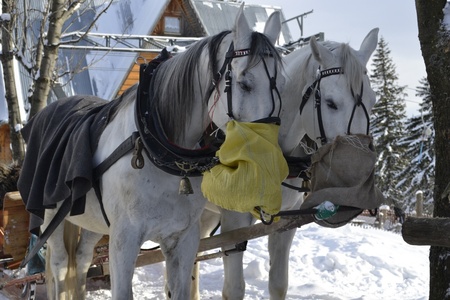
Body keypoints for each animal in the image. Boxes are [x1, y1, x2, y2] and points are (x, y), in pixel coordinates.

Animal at [18, 7, 284, 300]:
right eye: (245, 84)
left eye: (282, 85)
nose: (268, 165)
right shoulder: (124, 240)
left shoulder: (183, 239)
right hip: (51, 217)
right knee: (60, 265)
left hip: (93, 222)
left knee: (82, 258)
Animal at [199, 27, 378, 298]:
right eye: (331, 103)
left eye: (373, 101)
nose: (358, 184)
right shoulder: (233, 225)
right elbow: (234, 289)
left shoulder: (284, 225)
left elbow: (278, 283)